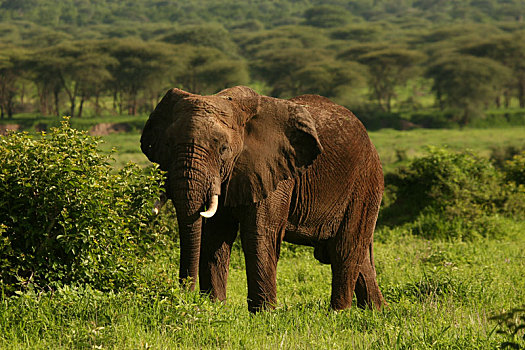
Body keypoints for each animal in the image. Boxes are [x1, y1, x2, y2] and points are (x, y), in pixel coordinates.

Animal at [139, 85, 384, 312]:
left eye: (223, 149)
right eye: (167, 146)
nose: (185, 298)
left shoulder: (274, 170)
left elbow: (259, 233)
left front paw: (263, 313)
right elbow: (215, 235)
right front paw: (215, 308)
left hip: (364, 184)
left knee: (344, 249)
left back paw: (337, 313)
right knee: (359, 258)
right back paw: (375, 311)